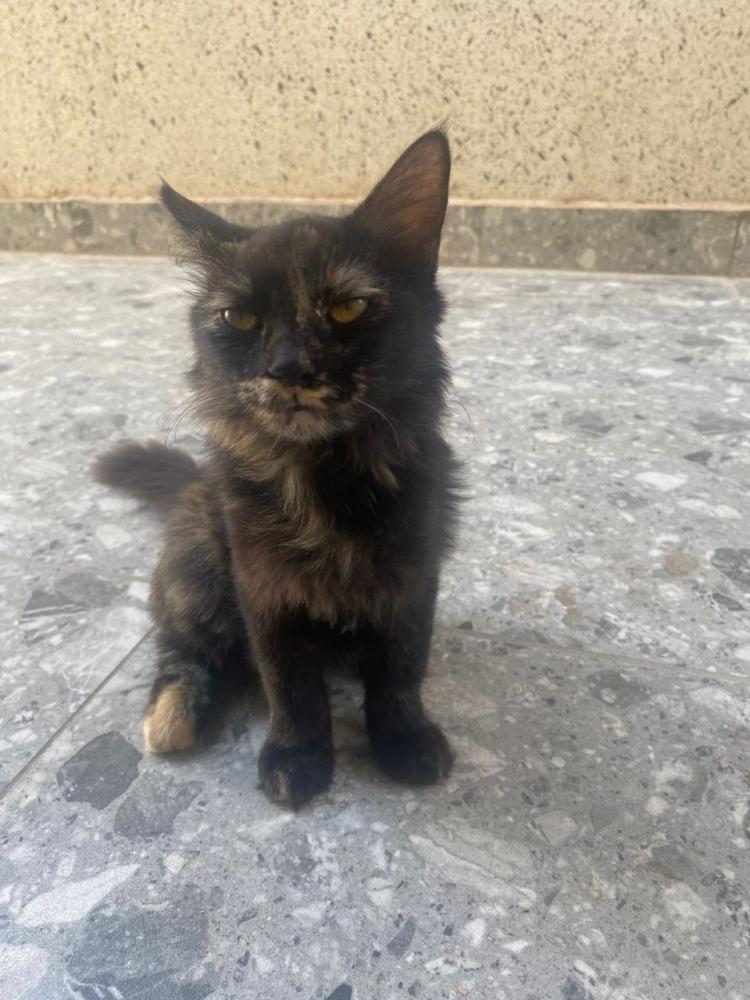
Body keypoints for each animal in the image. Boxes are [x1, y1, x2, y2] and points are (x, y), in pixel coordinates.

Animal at [94, 129, 462, 809]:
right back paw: (171, 718)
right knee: (181, 646)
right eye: (238, 318)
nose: (289, 367)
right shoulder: (262, 591)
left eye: (347, 309)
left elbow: (401, 671)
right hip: (198, 564)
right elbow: (290, 687)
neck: (322, 480)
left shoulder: (413, 577)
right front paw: (297, 756)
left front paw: (405, 738)